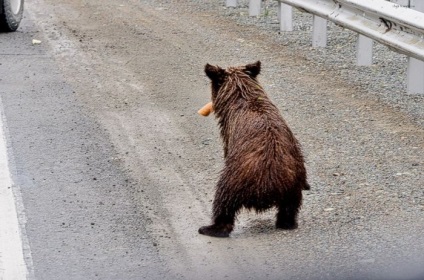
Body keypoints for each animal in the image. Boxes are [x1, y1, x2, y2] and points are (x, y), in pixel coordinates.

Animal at [199, 60, 312, 237]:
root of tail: (269, 184)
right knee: (289, 208)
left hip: (236, 177)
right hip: (293, 182)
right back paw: (287, 223)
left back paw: (211, 228)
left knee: (223, 201)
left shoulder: (229, 135)